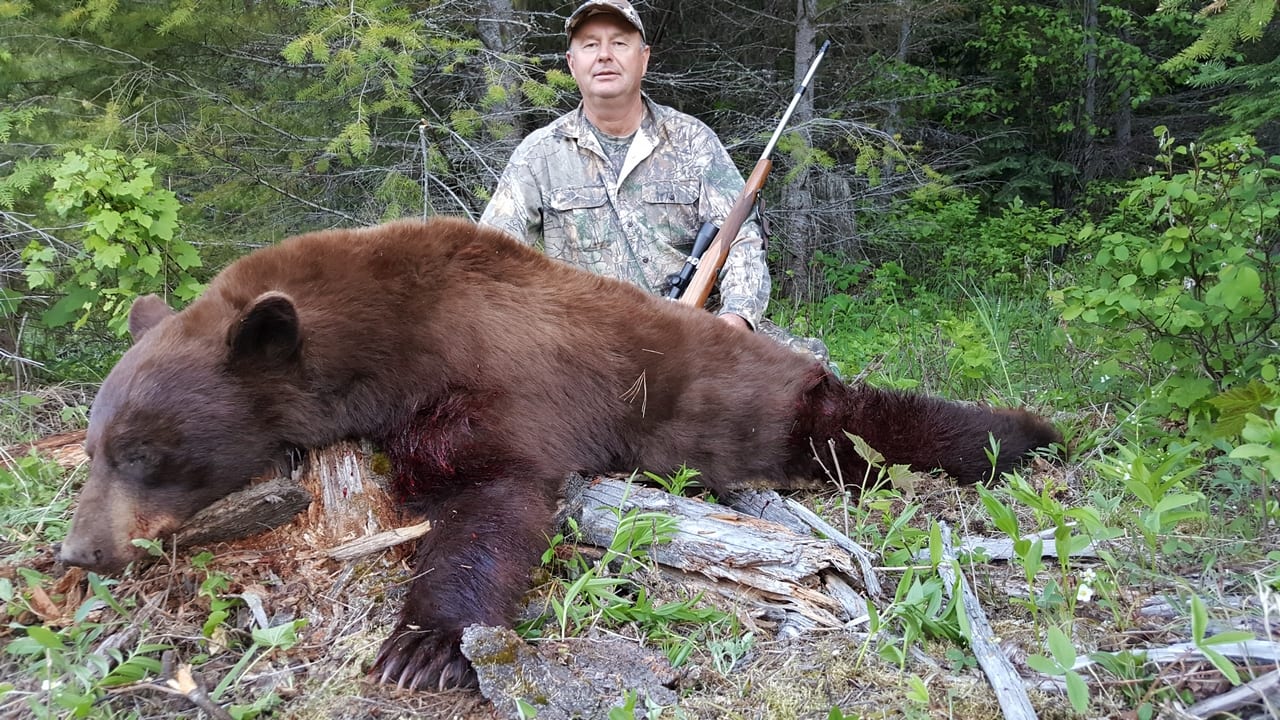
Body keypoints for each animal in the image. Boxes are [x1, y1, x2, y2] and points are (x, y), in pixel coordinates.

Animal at [58, 216, 1061, 691]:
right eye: (96, 450)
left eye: (144, 453)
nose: (81, 552)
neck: (385, 334)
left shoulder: (499, 375)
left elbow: (497, 492)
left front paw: (422, 648)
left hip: (791, 411)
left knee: (866, 429)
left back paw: (1023, 432)